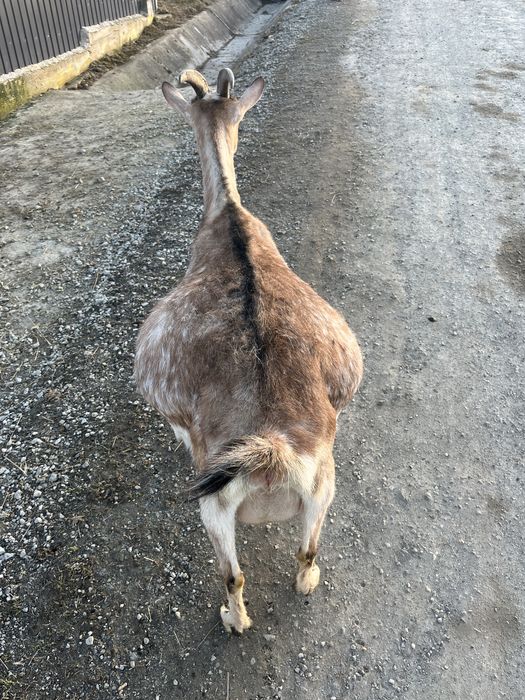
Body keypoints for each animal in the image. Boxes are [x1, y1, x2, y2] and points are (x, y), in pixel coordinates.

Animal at [134, 68, 363, 634]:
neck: (229, 217)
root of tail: (273, 450)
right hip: (324, 487)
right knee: (306, 554)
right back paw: (309, 580)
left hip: (214, 506)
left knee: (233, 576)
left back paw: (232, 618)